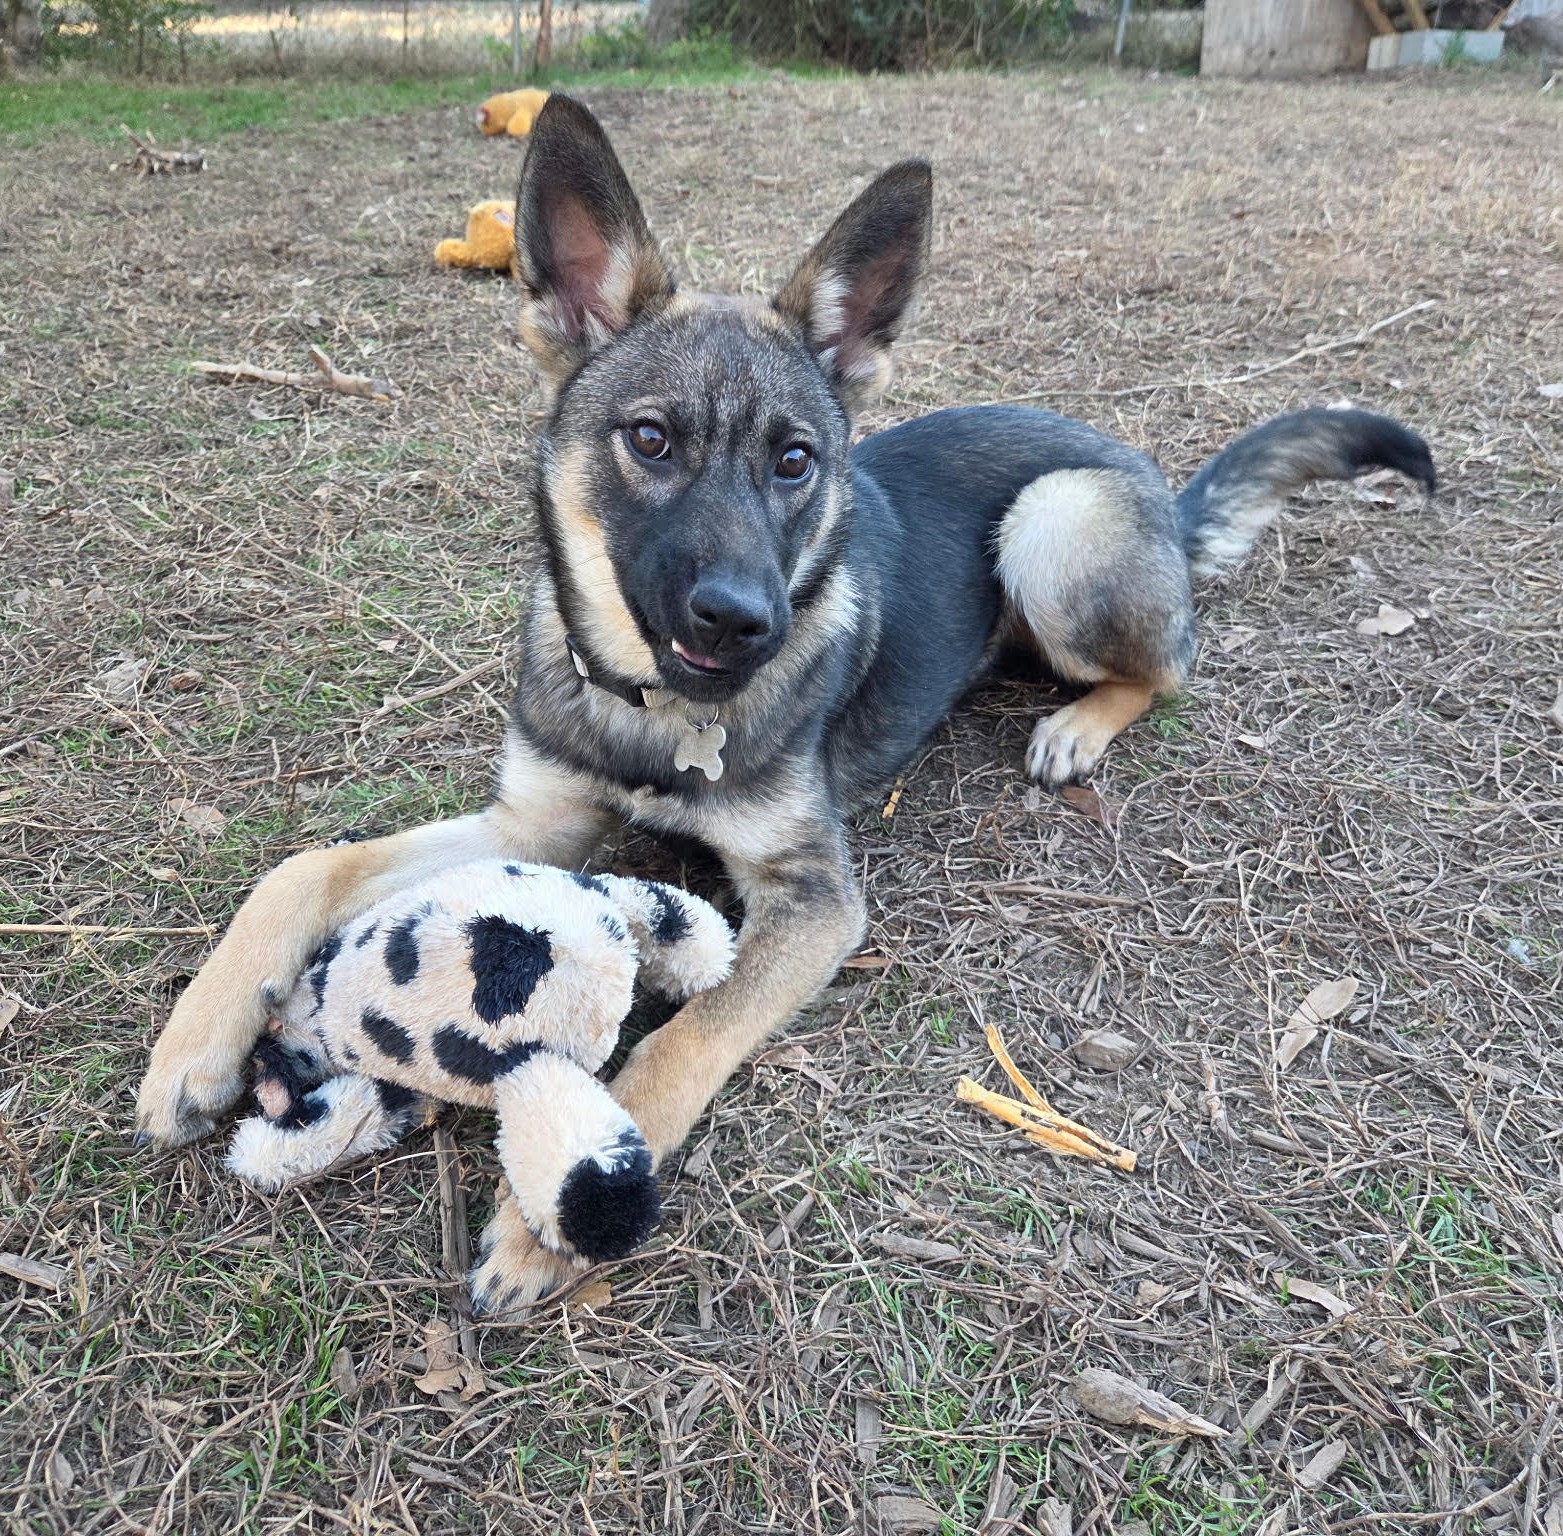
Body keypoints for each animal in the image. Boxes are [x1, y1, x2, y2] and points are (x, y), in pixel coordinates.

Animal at [135, 95, 1435, 1315]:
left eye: (797, 461)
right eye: (651, 440)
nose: (741, 620)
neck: (657, 711)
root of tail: (1156, 481)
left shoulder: (813, 900)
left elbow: (687, 1033)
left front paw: (553, 1215)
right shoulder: (530, 829)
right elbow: (308, 863)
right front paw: (194, 1044)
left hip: (1054, 530)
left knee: (1171, 665)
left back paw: (1075, 724)